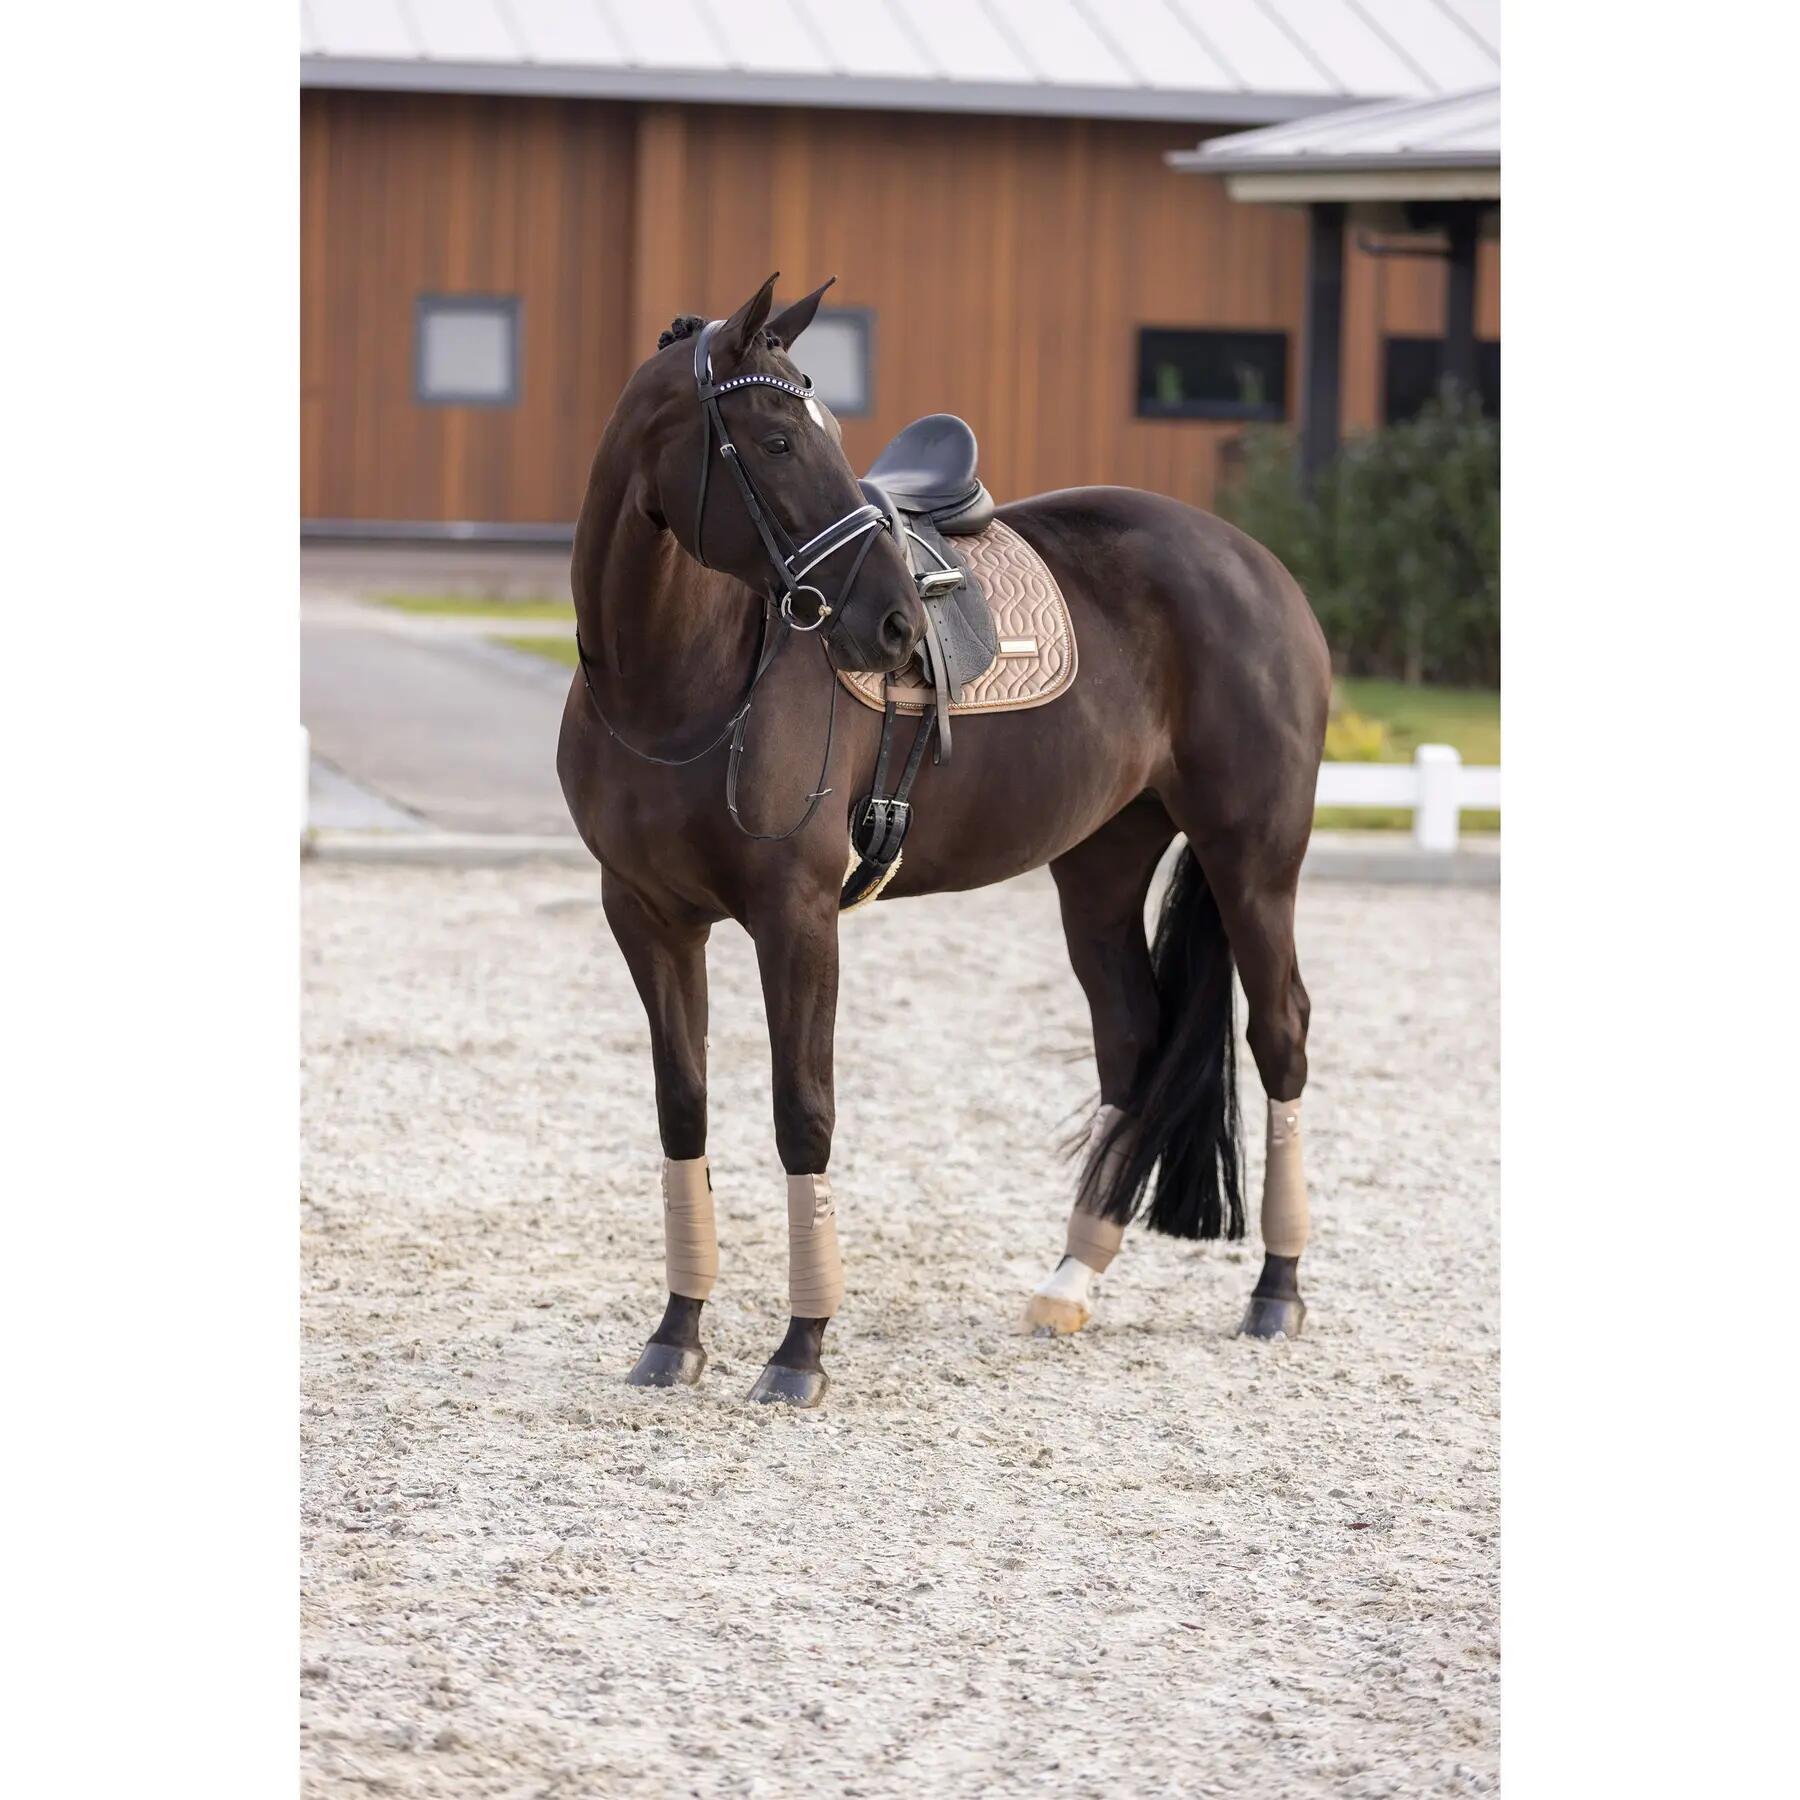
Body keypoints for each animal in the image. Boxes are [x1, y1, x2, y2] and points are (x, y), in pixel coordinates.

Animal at [557, 274, 1330, 1407]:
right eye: (777, 440)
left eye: (824, 434)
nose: (892, 625)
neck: (679, 683)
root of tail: (1253, 560)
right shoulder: (646, 916)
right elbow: (683, 1109)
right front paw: (676, 1334)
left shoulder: (796, 917)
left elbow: (803, 1112)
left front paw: (800, 1350)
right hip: (1100, 864)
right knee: (1134, 1040)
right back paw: (1071, 1279)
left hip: (1254, 859)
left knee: (1278, 1033)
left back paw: (1277, 1289)